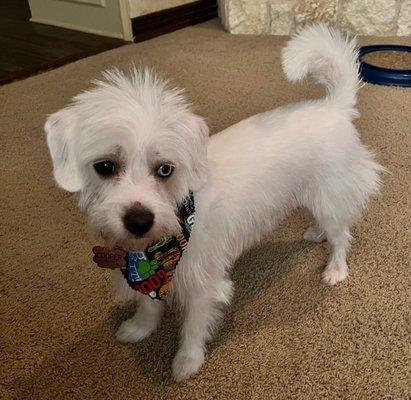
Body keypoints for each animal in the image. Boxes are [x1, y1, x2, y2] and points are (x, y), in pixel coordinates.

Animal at [44, 25, 384, 382]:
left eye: (165, 169)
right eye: (105, 166)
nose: (139, 220)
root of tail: (334, 107)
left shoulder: (202, 282)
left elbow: (193, 325)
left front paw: (187, 361)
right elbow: (148, 304)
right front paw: (140, 329)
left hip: (330, 196)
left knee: (341, 235)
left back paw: (335, 268)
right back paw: (316, 234)